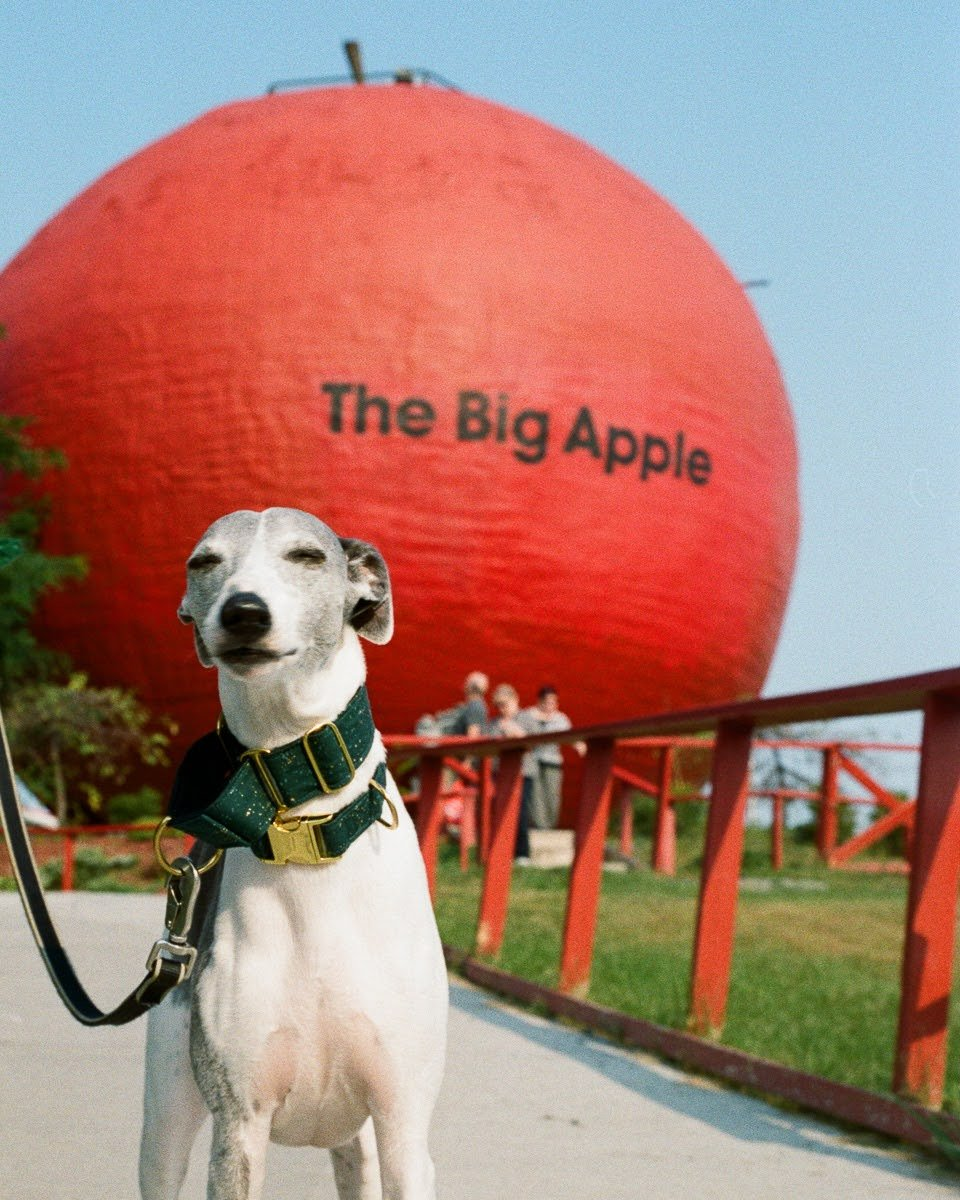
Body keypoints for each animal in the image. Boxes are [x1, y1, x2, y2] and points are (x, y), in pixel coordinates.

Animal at [139, 507, 448, 1200]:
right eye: (204, 561)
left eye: (307, 556)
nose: (244, 613)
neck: (305, 831)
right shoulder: (240, 1122)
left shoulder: (403, 1124)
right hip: (164, 1121)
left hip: (359, 1142)